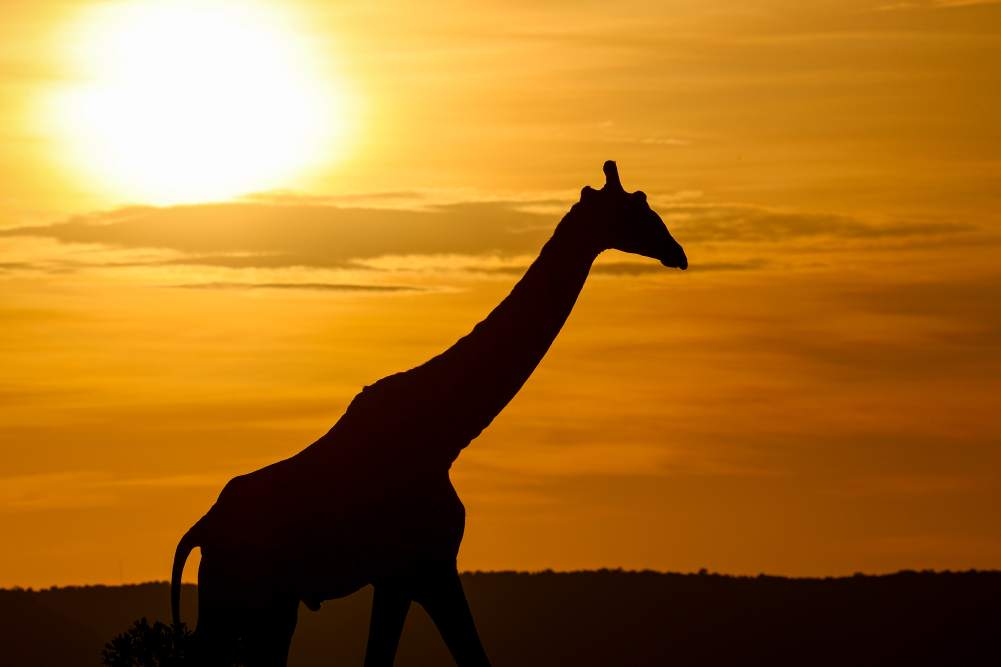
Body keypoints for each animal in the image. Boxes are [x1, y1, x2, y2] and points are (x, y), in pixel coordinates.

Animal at [170, 161, 688, 666]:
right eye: (635, 209)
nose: (677, 253)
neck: (446, 433)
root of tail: (200, 532)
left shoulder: (407, 576)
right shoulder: (423, 567)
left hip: (273, 609)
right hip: (241, 602)